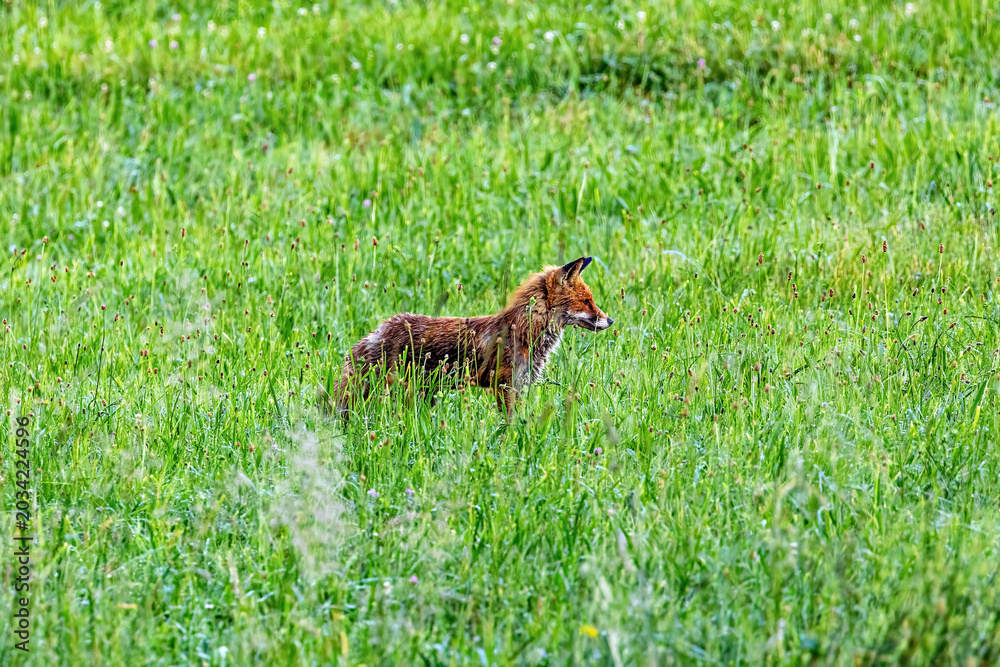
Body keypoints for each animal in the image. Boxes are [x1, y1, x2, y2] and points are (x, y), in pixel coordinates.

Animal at [322, 257, 613, 419]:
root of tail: (378, 330)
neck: (524, 332)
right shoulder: (505, 386)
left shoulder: (520, 385)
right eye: (586, 301)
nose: (611, 321)